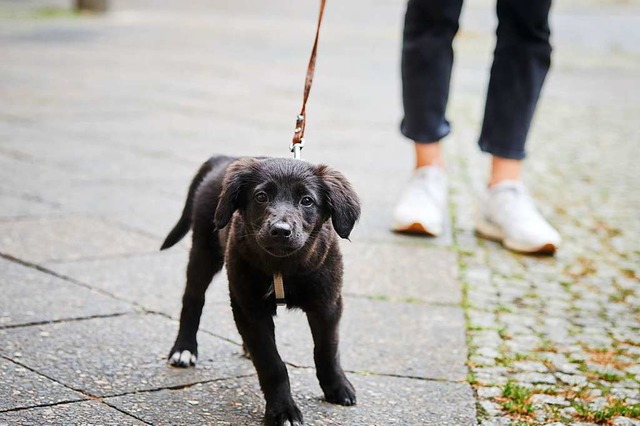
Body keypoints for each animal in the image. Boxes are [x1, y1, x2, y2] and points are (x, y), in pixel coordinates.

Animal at [160, 155, 360, 424]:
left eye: (307, 200)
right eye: (261, 196)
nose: (280, 230)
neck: (283, 265)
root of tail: (225, 159)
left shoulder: (327, 304)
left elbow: (327, 350)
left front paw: (337, 387)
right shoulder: (250, 308)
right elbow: (271, 363)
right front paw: (283, 411)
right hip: (203, 250)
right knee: (193, 300)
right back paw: (184, 349)